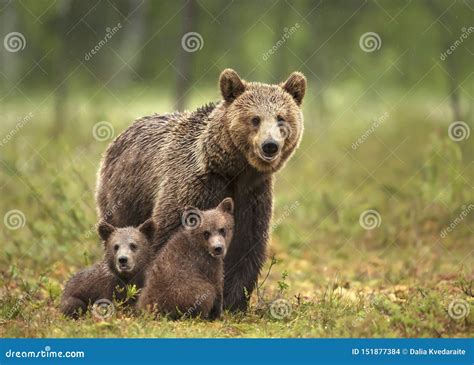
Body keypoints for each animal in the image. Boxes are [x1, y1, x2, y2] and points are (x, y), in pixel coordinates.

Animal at [95, 68, 308, 310]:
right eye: (255, 118)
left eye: (281, 118)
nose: (270, 145)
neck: (233, 170)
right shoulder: (194, 186)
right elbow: (167, 236)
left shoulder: (252, 196)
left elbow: (246, 245)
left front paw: (234, 302)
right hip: (125, 194)